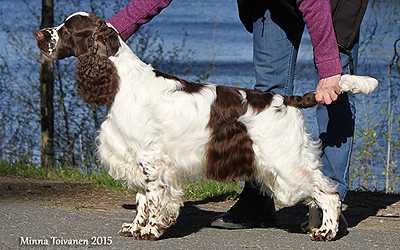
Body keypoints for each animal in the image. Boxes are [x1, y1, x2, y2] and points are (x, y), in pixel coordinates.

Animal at [35, 12, 378, 241]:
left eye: (67, 29)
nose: (40, 34)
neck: (121, 81)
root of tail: (287, 99)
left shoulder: (152, 159)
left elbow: (154, 197)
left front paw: (151, 230)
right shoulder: (136, 156)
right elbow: (142, 199)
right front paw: (135, 227)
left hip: (286, 162)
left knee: (327, 192)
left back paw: (326, 231)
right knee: (318, 192)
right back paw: (314, 225)